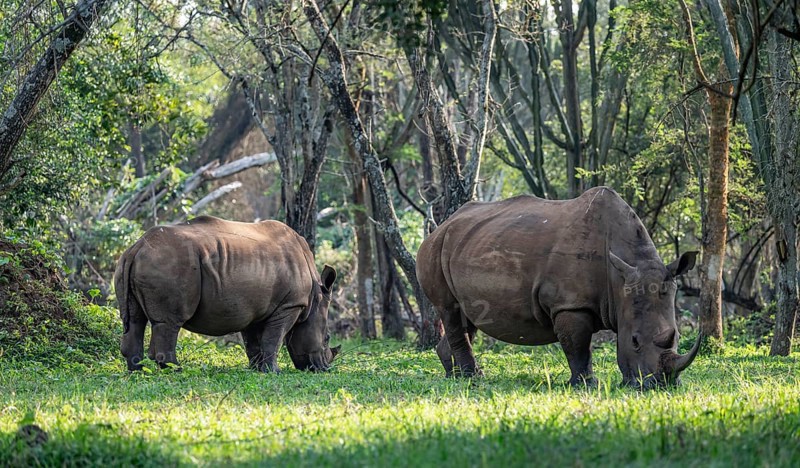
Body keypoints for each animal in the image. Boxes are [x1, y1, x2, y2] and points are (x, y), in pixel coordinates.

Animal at [114, 216, 340, 373]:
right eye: (327, 338)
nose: (324, 368)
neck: (315, 297)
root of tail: (136, 247)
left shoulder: (254, 308)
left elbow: (253, 342)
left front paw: (257, 370)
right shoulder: (290, 305)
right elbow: (273, 339)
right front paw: (274, 372)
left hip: (133, 263)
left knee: (134, 320)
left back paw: (138, 371)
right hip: (168, 264)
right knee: (169, 323)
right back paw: (176, 371)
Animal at [417, 187, 701, 389]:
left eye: (677, 336)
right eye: (635, 341)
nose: (660, 386)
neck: (619, 279)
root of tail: (442, 225)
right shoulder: (569, 304)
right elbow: (578, 345)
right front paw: (586, 385)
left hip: (466, 243)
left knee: (469, 318)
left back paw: (455, 375)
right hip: (434, 248)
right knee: (450, 309)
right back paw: (471, 378)